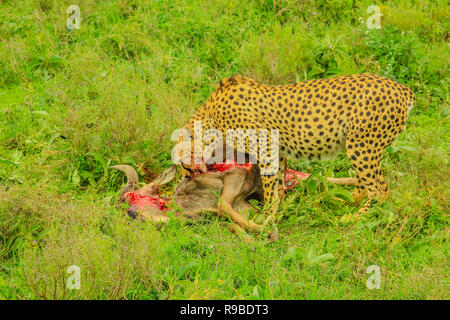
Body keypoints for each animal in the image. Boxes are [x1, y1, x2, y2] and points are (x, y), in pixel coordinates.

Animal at [177, 73, 414, 218]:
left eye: (182, 164)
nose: (185, 177)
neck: (210, 116)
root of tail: (402, 88)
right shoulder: (278, 150)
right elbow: (279, 182)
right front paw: (281, 207)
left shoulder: (265, 146)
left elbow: (270, 188)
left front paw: (267, 215)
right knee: (365, 186)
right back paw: (340, 200)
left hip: (361, 145)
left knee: (380, 190)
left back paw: (354, 219)